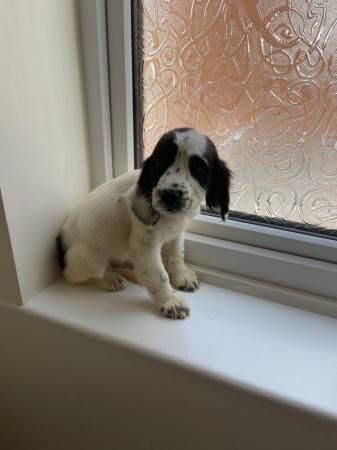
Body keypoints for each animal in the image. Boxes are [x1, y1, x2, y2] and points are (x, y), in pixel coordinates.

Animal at [57, 127, 231, 320]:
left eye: (199, 167)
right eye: (160, 163)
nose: (170, 195)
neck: (169, 218)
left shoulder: (176, 234)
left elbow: (177, 254)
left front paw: (182, 275)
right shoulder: (146, 246)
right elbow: (159, 275)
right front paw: (170, 301)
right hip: (89, 258)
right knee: (76, 275)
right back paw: (110, 278)